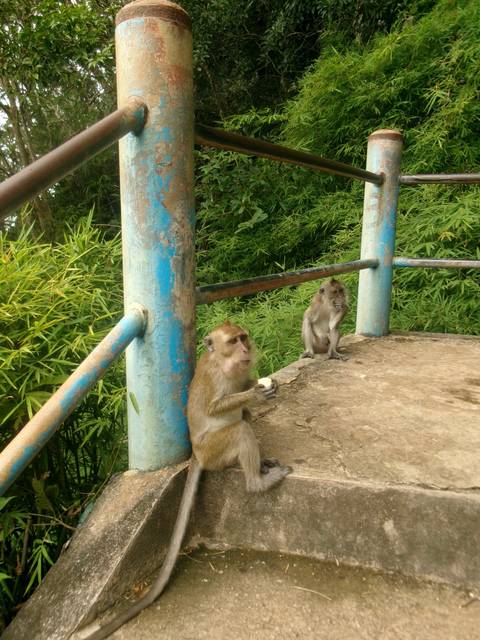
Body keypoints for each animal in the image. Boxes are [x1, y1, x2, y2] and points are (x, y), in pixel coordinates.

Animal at [74, 321, 290, 640]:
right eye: (233, 341)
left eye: (243, 337)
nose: (245, 350)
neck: (224, 362)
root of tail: (197, 455)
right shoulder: (215, 377)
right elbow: (215, 407)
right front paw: (256, 394)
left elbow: (244, 386)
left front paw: (261, 385)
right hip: (214, 451)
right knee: (240, 429)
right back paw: (257, 481)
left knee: (245, 419)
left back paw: (261, 464)